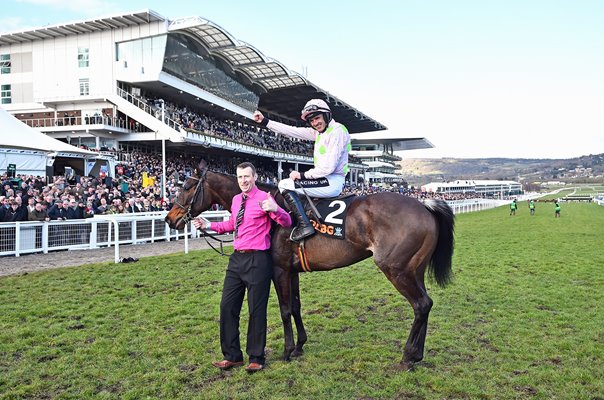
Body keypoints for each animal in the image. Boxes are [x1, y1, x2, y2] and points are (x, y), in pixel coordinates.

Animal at [165, 159, 452, 368]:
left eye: (187, 186)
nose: (170, 218)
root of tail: (425, 206)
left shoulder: (279, 269)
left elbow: (283, 310)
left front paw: (287, 350)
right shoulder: (292, 270)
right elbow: (295, 306)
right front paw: (300, 345)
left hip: (396, 269)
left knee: (420, 304)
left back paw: (407, 356)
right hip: (414, 269)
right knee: (425, 304)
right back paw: (417, 355)